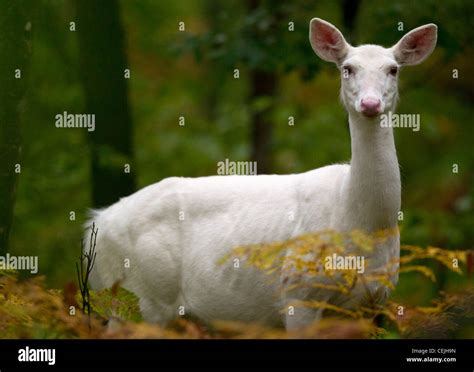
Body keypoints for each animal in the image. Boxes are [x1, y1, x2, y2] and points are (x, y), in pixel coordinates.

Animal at [86, 18, 436, 332]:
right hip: (138, 296)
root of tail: (97, 222)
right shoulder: (298, 292)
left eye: (393, 69)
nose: (370, 103)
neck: (358, 218)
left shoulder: (372, 303)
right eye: (347, 68)